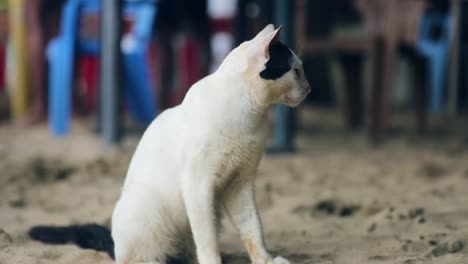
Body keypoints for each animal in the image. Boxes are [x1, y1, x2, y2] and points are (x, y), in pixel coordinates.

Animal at [110, 24, 310, 264]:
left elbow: (252, 228)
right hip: (148, 211)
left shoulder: (239, 183)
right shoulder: (198, 186)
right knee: (145, 256)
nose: (309, 88)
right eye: (296, 71)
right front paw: (214, 261)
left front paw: (266, 260)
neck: (249, 117)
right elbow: (207, 238)